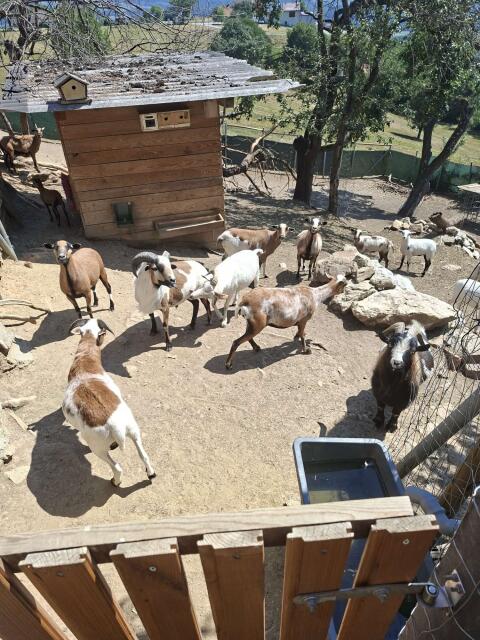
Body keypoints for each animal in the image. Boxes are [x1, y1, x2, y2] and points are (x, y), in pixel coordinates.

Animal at [63, 318, 155, 486]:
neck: (85, 366)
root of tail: (114, 424)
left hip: (98, 450)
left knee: (117, 468)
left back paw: (114, 482)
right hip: (134, 431)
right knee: (143, 455)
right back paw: (151, 474)